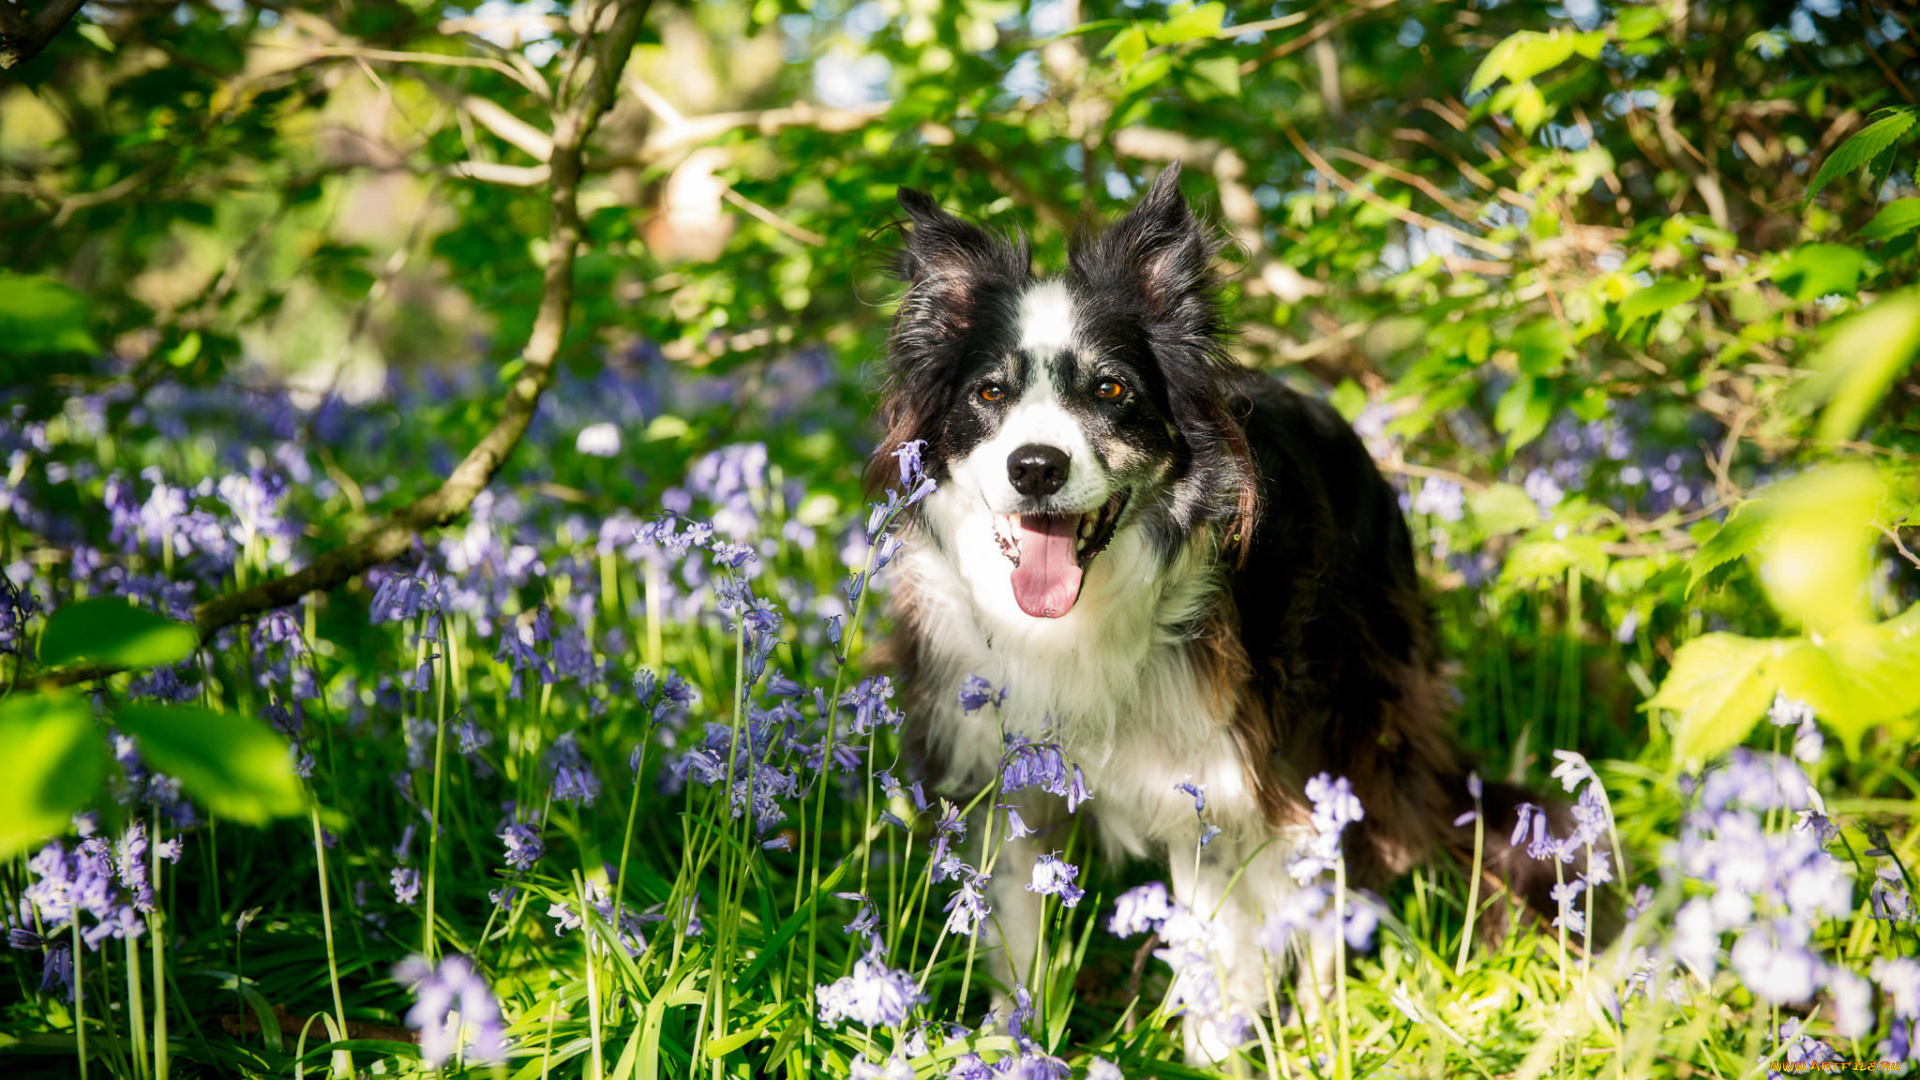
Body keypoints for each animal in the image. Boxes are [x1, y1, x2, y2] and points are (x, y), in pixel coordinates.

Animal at [871, 164, 1543, 1053]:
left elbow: (1213, 945)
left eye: (1112, 389)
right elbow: (1018, 940)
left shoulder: (1214, 788)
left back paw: (1324, 1022)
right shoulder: (997, 777)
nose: (1037, 467)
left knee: (1333, 866)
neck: (1076, 622)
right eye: (989, 392)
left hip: (1349, 715)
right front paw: (1015, 1045)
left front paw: (1213, 1055)